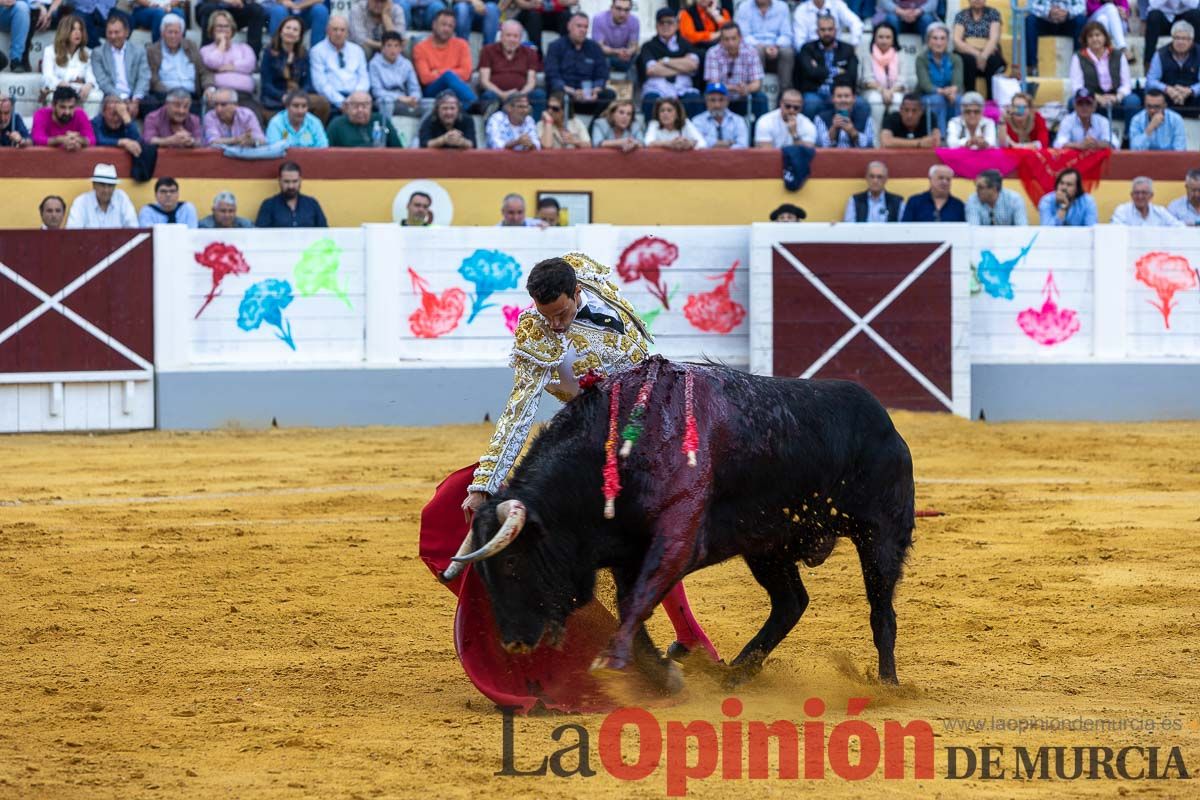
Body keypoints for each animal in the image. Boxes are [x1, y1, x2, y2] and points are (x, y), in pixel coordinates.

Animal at [463, 357, 912, 690]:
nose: (514, 644)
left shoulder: (676, 538)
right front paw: (662, 674)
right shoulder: (628, 554)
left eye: (512, 562)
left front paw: (619, 660)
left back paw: (887, 685)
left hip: (881, 535)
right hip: (767, 546)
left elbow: (641, 598)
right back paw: (735, 672)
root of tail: (885, 421)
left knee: (881, 609)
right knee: (790, 603)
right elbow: (633, 605)